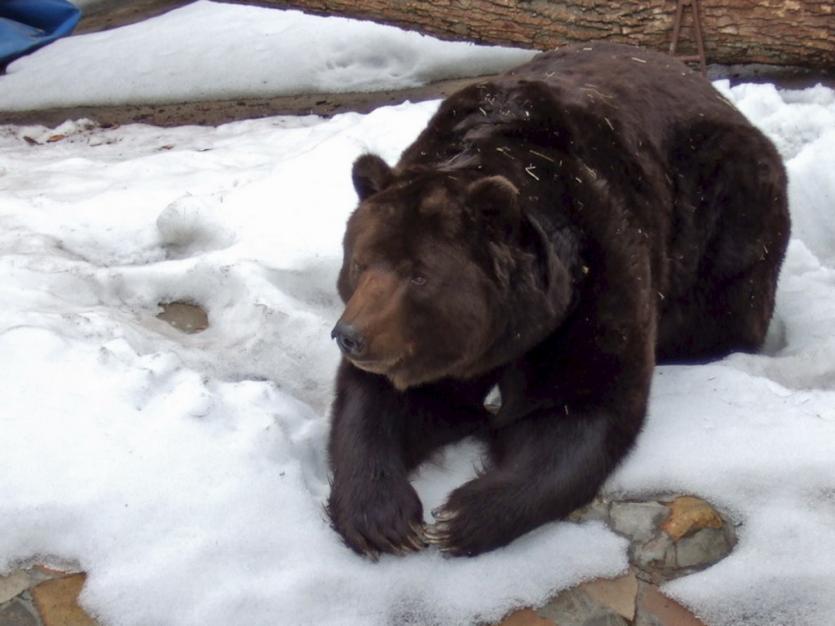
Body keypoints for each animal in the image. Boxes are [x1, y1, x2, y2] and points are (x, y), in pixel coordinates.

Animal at [326, 42, 790, 558]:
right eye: (361, 262)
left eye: (419, 275)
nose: (351, 335)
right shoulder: (424, 345)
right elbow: (377, 402)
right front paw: (384, 519)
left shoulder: (595, 277)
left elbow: (575, 407)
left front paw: (462, 517)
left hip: (724, 204)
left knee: (726, 296)